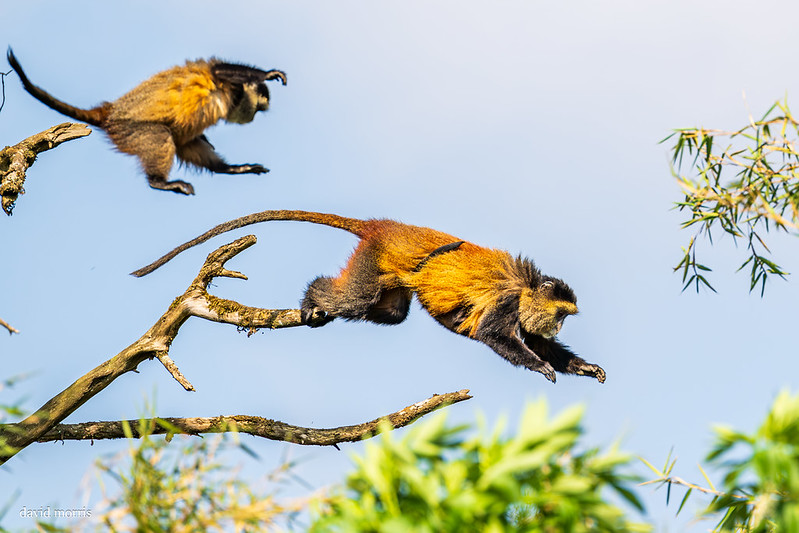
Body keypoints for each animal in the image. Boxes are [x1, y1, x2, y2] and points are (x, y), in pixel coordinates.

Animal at [6, 48, 287, 195]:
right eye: (257, 110)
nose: (252, 117)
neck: (231, 99)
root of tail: (110, 112)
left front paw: (231, 166)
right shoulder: (227, 84)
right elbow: (218, 71)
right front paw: (267, 73)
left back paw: (227, 169)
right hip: (128, 129)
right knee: (160, 136)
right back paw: (158, 182)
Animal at [131, 210, 606, 384]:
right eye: (562, 315)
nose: (560, 325)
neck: (526, 287)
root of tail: (386, 226)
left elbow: (536, 339)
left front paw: (582, 366)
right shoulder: (508, 301)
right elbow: (494, 335)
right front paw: (541, 366)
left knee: (392, 311)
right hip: (371, 258)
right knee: (354, 301)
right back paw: (313, 297)